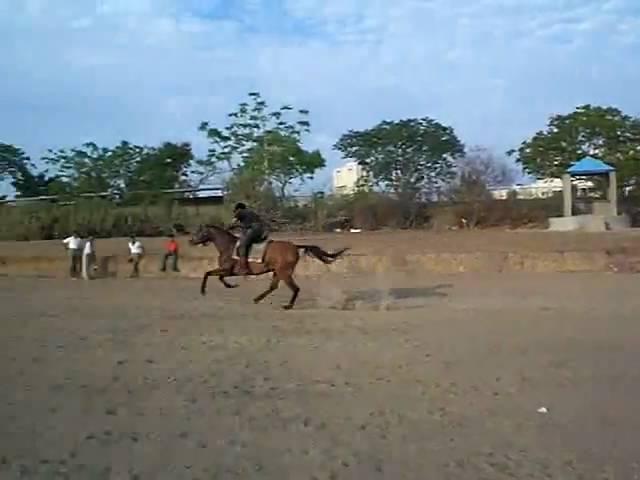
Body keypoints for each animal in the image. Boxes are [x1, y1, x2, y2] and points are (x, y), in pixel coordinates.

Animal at [190, 224, 350, 310]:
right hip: (277, 272)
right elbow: (218, 277)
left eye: (200, 232)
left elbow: (208, 273)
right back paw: (257, 299)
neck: (228, 247)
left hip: (284, 272)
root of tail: (294, 246)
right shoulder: (230, 272)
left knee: (295, 288)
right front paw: (230, 286)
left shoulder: (228, 270)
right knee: (273, 287)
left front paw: (203, 291)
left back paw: (288, 306)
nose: (191, 241)